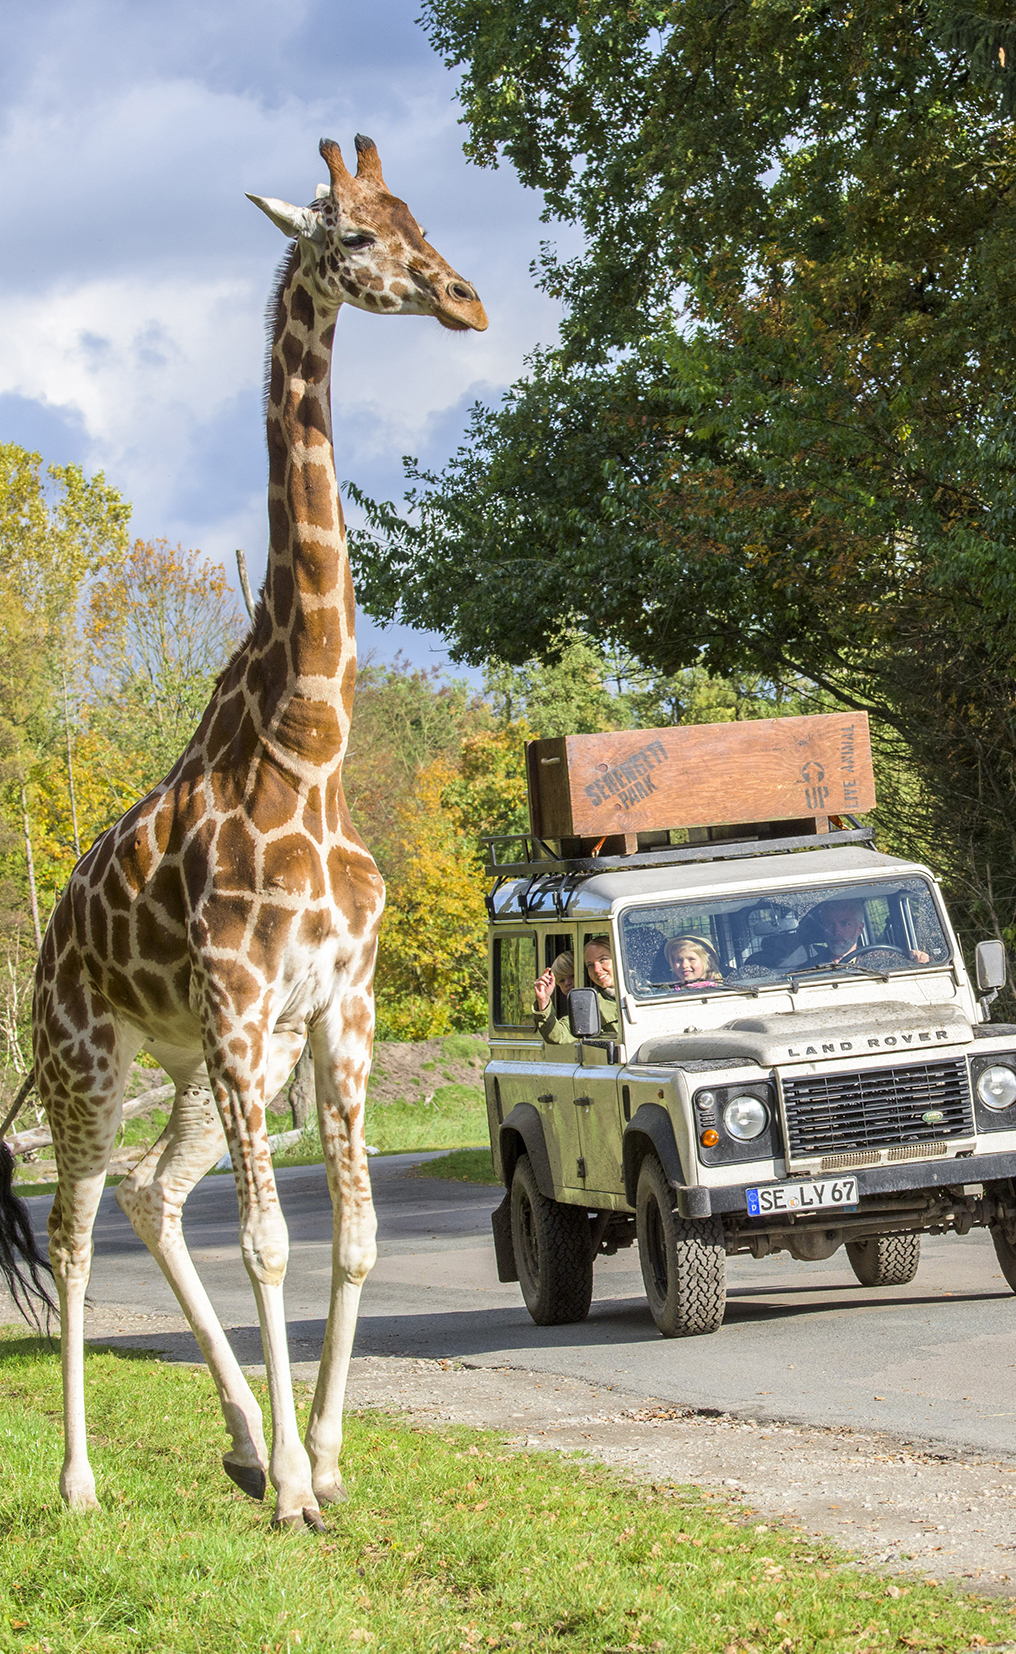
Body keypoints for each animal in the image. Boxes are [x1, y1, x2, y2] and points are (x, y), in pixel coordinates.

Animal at [19, 134, 487, 1528]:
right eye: (353, 236)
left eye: (417, 213)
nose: (463, 300)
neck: (307, 749)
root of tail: (47, 950)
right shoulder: (237, 999)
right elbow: (272, 1241)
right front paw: (292, 1492)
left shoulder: (339, 1007)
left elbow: (356, 1234)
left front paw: (317, 1456)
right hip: (90, 1058)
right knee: (73, 1228)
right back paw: (80, 1480)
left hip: (201, 1068)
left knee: (148, 1195)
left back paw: (237, 1435)